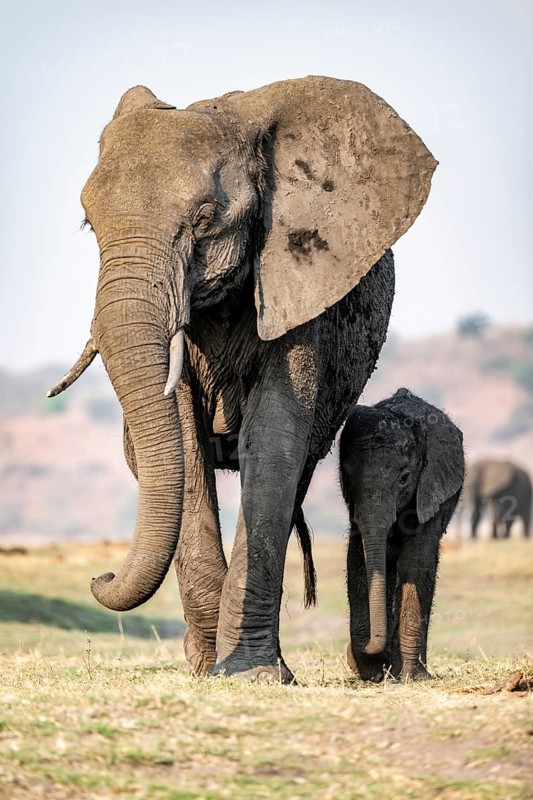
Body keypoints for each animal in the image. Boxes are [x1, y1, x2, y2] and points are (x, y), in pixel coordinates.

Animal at [48, 77, 436, 682]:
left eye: (207, 219)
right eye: (90, 225)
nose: (100, 577)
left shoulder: (300, 287)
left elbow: (274, 440)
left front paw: (254, 675)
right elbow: (184, 445)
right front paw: (214, 670)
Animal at [339, 389, 464, 681]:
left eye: (405, 478)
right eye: (346, 477)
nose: (354, 650)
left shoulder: (430, 490)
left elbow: (416, 564)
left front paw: (409, 677)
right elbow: (359, 560)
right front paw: (372, 671)